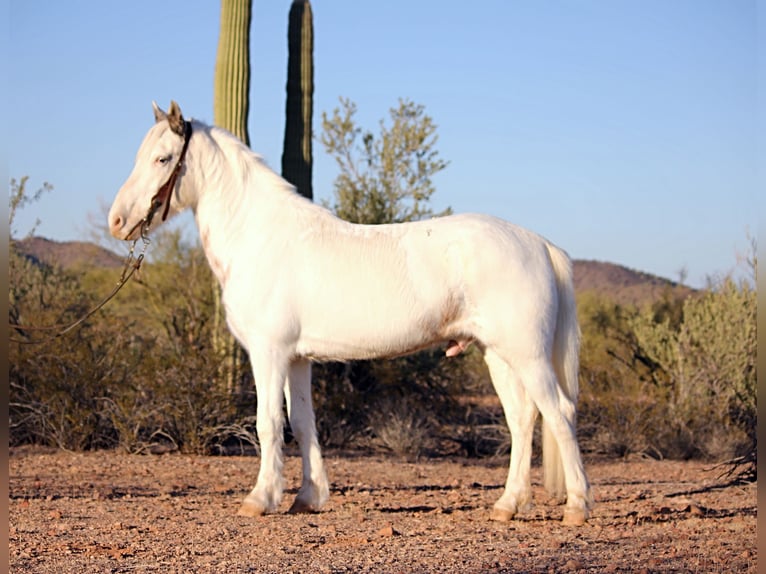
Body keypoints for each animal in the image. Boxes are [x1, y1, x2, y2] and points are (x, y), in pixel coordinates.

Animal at [108, 100, 592, 528]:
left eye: (162, 158)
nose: (117, 221)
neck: (259, 236)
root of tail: (541, 244)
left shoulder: (268, 353)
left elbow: (268, 424)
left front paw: (260, 499)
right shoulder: (297, 359)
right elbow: (303, 423)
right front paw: (308, 497)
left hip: (526, 355)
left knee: (560, 413)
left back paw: (576, 507)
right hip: (499, 355)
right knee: (523, 419)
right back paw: (508, 506)